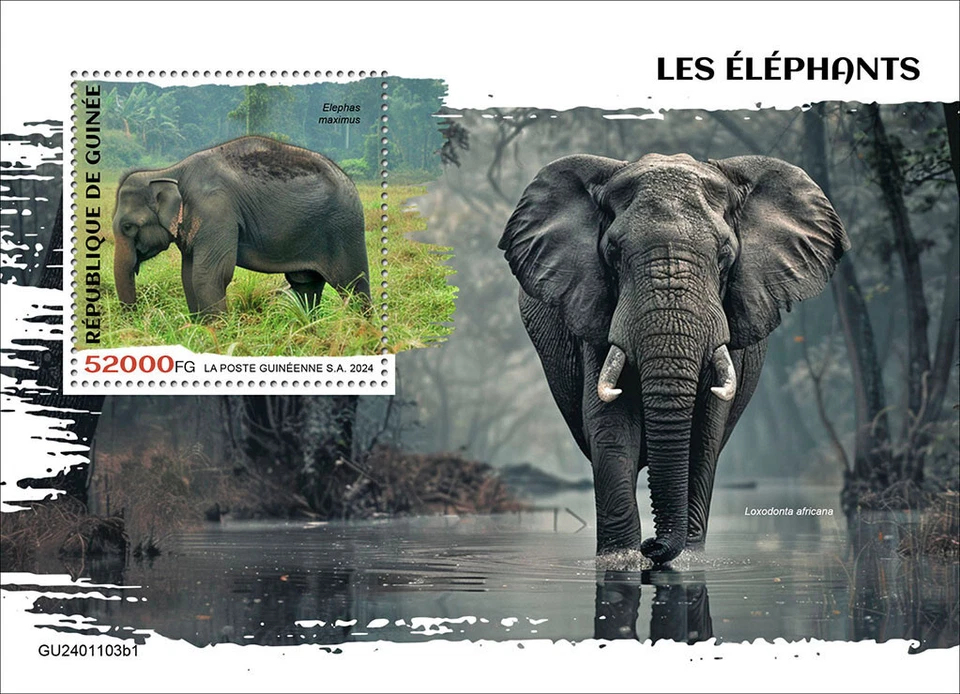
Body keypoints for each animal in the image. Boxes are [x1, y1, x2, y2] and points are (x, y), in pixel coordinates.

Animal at [112, 136, 371, 317]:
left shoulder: (216, 211)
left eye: (128, 227)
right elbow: (188, 276)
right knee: (306, 284)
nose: (138, 318)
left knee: (354, 285)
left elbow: (210, 275)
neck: (170, 172)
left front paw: (218, 335)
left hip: (344, 229)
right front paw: (201, 329)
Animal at [499, 153, 848, 564]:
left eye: (725, 256)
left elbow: (705, 432)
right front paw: (622, 560)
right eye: (613, 253)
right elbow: (611, 427)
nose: (653, 546)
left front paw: (684, 562)